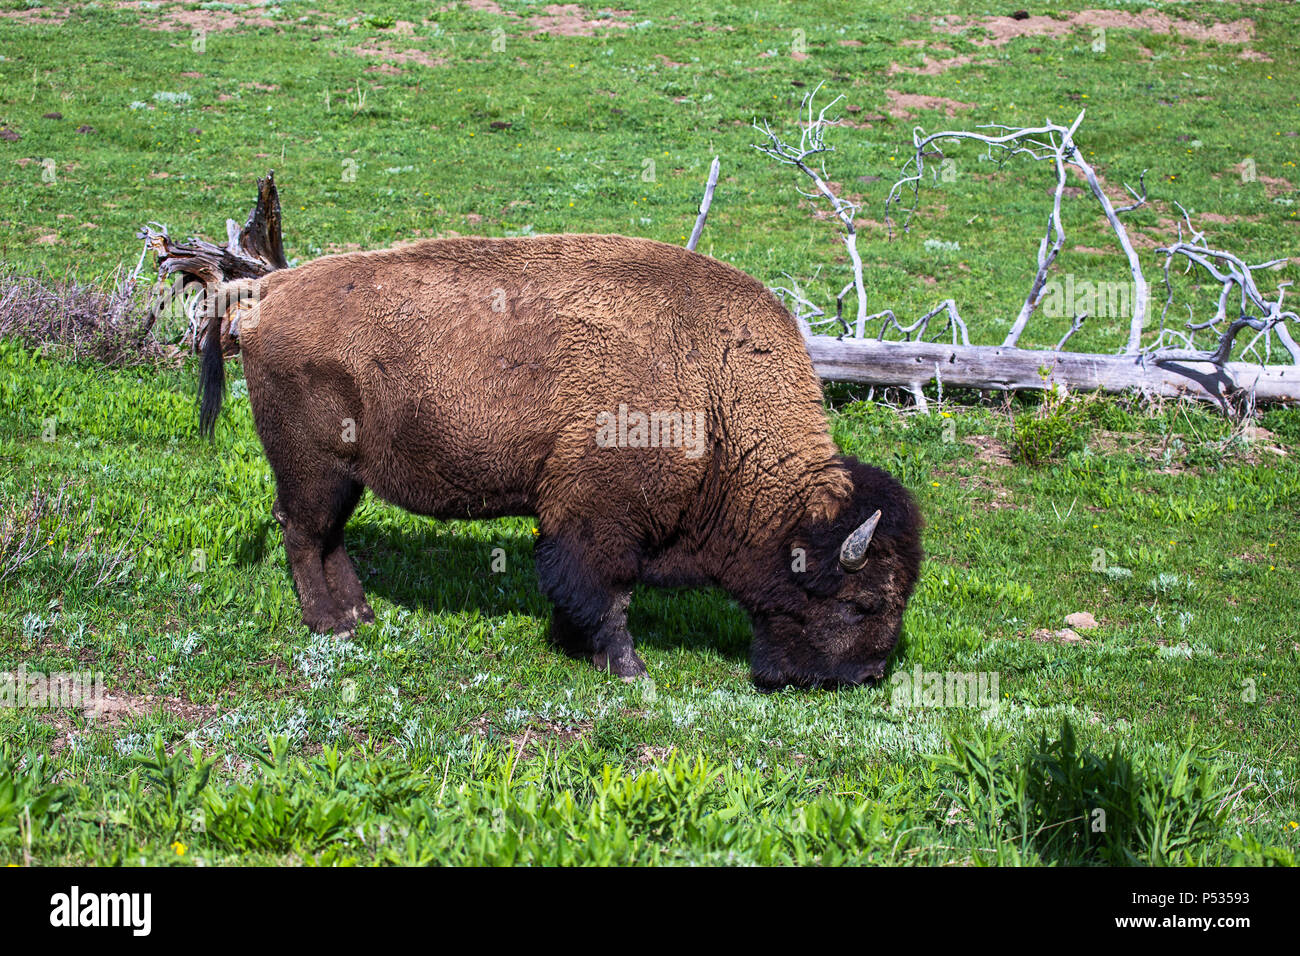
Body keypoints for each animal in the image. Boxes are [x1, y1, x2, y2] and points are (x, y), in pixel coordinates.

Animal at [197, 235, 920, 691]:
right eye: (863, 603)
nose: (866, 677)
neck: (716, 389)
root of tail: (268, 288)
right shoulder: (601, 517)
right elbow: (606, 592)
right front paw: (629, 670)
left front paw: (578, 648)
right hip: (312, 467)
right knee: (303, 533)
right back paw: (332, 625)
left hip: (345, 476)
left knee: (327, 538)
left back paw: (361, 616)